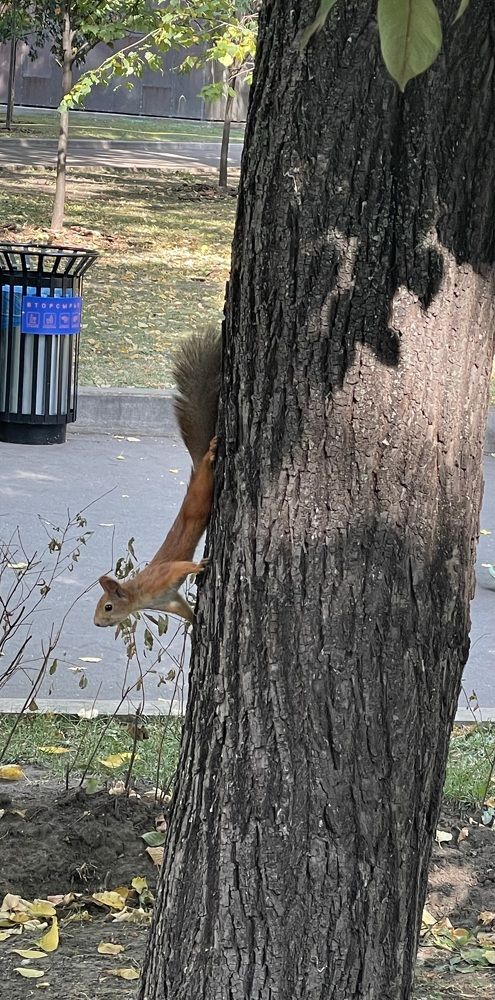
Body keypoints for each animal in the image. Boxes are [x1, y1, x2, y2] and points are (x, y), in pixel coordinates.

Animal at [93, 327, 221, 628]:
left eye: (107, 607)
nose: (97, 623)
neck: (140, 594)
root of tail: (195, 468)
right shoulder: (168, 601)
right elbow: (183, 609)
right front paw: (194, 623)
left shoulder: (162, 578)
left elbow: (180, 567)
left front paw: (200, 565)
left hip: (201, 492)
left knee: (205, 473)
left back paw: (210, 453)